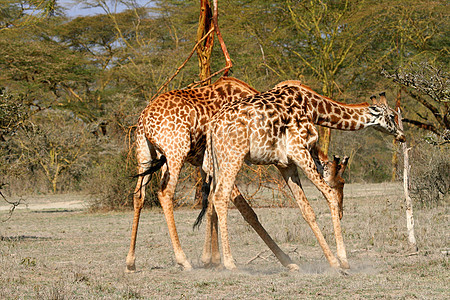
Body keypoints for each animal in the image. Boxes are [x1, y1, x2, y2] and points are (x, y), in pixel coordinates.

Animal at [125, 76, 298, 274]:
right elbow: (246, 210)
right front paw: (287, 261)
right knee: (165, 193)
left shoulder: (205, 163)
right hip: (175, 151)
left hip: (145, 153)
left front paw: (212, 259)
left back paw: (130, 263)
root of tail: (144, 119)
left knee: (139, 195)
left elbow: (210, 206)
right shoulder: (219, 160)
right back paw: (183, 260)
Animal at [200, 81, 404, 270]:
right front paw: (343, 260)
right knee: (220, 196)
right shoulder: (299, 151)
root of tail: (212, 125)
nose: (402, 135)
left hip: (216, 162)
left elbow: (306, 210)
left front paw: (332, 261)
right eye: (392, 115)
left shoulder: (286, 163)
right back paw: (230, 263)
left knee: (211, 199)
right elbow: (329, 195)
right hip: (233, 156)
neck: (314, 108)